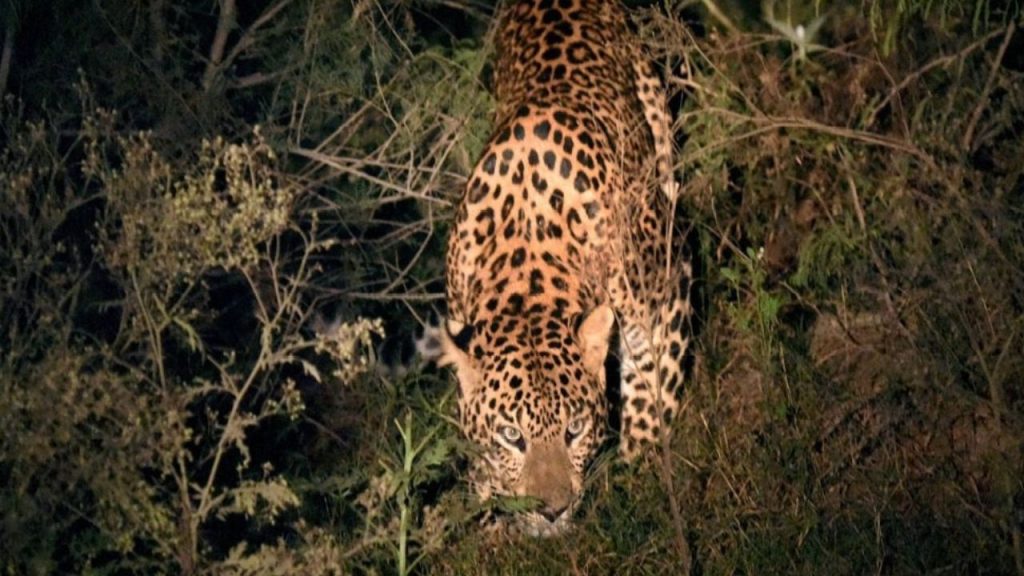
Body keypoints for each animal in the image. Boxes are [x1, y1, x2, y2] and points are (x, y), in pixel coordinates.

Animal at [421, 0, 693, 536]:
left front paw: (641, 475)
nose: (552, 510)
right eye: (510, 434)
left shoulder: (667, 292)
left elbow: (652, 397)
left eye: (575, 429)